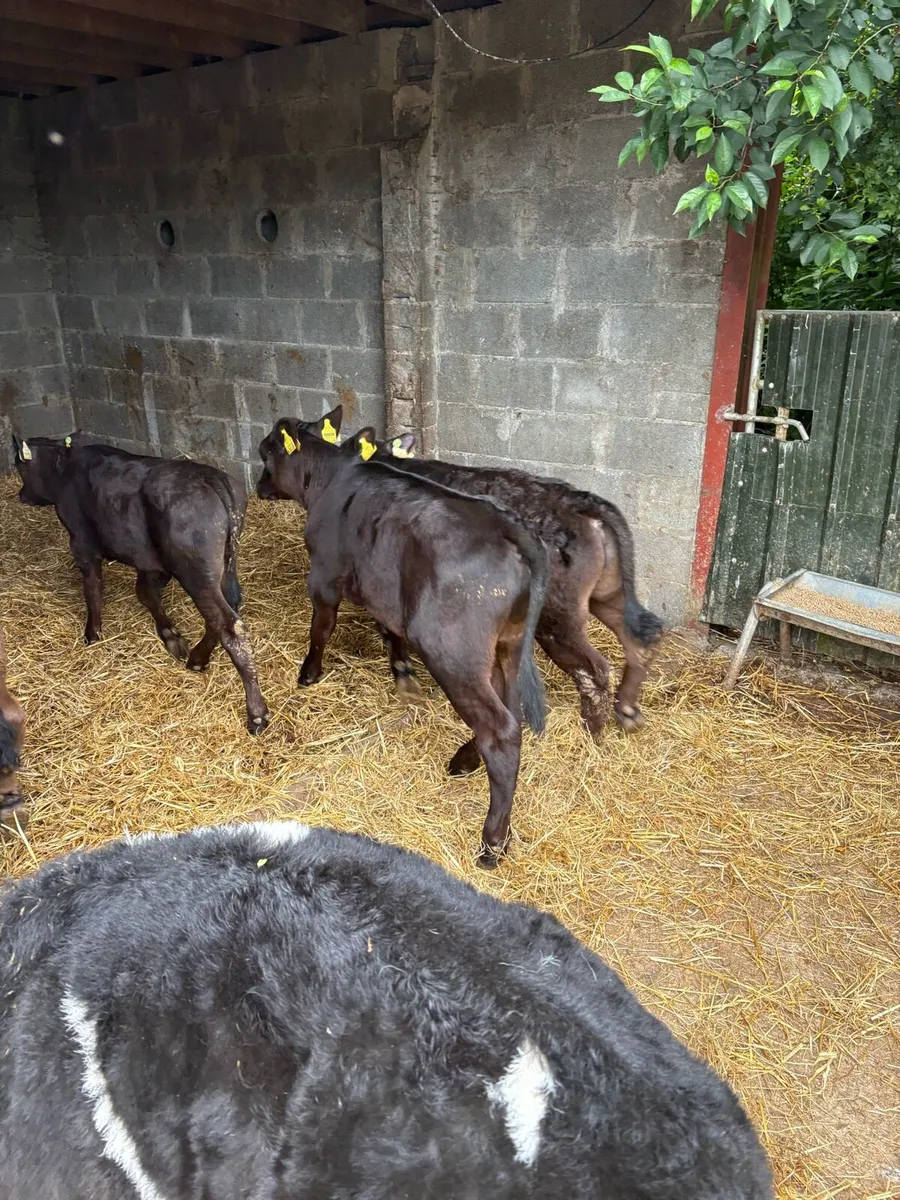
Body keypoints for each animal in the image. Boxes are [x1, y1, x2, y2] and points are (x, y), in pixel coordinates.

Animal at [12, 435, 269, 735]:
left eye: (19, 467)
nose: (21, 495)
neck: (63, 469)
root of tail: (211, 478)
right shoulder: (149, 561)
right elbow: (145, 593)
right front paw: (171, 636)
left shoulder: (82, 545)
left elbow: (93, 590)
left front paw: (92, 634)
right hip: (224, 566)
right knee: (225, 612)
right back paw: (197, 658)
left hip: (195, 571)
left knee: (229, 626)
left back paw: (257, 715)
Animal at [256, 415, 550, 864]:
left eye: (265, 452)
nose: (257, 486)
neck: (332, 477)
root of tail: (510, 529)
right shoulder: (383, 590)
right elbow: (388, 631)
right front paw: (402, 674)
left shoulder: (323, 575)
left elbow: (321, 627)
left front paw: (309, 673)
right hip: (508, 645)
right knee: (510, 709)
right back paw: (465, 760)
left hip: (453, 653)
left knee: (501, 731)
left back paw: (492, 843)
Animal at [341, 425, 664, 740]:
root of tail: (578, 500)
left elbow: (389, 629)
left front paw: (405, 680)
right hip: (606, 593)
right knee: (640, 637)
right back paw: (627, 713)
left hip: (556, 618)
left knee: (594, 671)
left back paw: (590, 735)